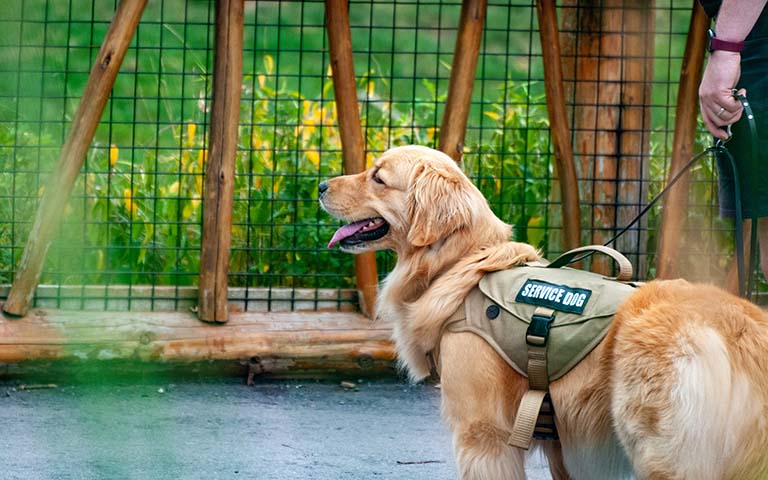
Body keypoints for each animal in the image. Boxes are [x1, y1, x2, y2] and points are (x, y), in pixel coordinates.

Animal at [316, 145, 768, 480]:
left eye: (378, 177)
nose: (319, 184)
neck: (461, 264)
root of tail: (741, 329)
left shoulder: (484, 434)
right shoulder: (562, 445)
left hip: (662, 453)